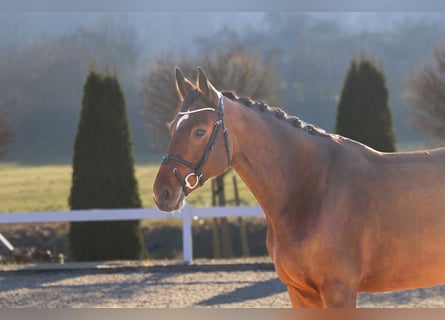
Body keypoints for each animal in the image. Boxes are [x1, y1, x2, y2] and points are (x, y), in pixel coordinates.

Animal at [151, 67, 444, 308]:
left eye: (199, 131)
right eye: (171, 126)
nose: (162, 192)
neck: (312, 188)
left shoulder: (339, 292)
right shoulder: (300, 293)